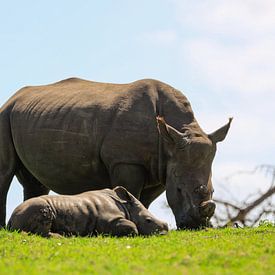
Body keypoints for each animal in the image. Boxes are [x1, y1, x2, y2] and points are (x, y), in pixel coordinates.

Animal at [7, 187, 168, 238]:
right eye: (148, 221)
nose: (164, 233)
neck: (126, 206)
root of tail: (10, 220)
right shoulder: (110, 220)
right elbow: (132, 226)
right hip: (35, 206)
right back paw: (62, 237)